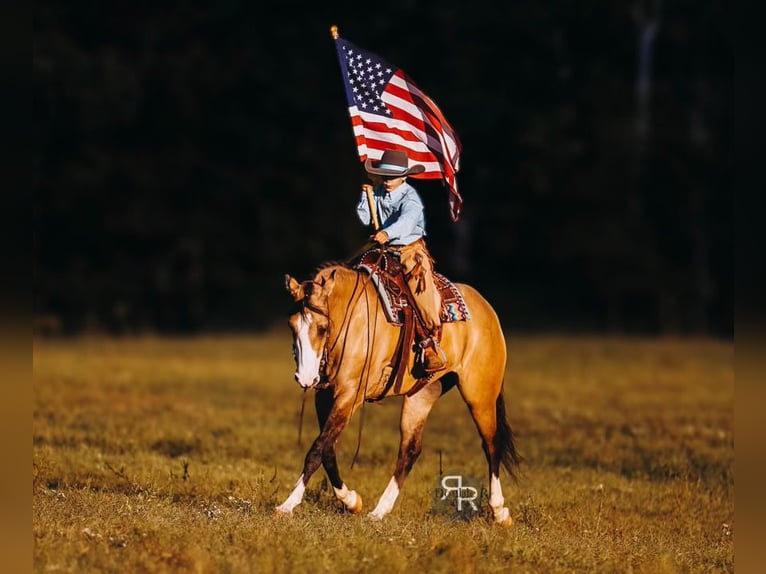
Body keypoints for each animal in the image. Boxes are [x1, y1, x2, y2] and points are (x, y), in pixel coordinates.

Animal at [276, 257, 520, 526]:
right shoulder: (325, 396)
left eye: (321, 327)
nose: (305, 377)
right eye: (291, 325)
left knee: (491, 444)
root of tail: (487, 310)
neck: (352, 320)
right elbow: (327, 449)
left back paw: (499, 511)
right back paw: (379, 511)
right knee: (410, 449)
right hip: (422, 394)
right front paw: (352, 501)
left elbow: (317, 450)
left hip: (480, 396)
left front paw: (287, 505)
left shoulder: (350, 395)